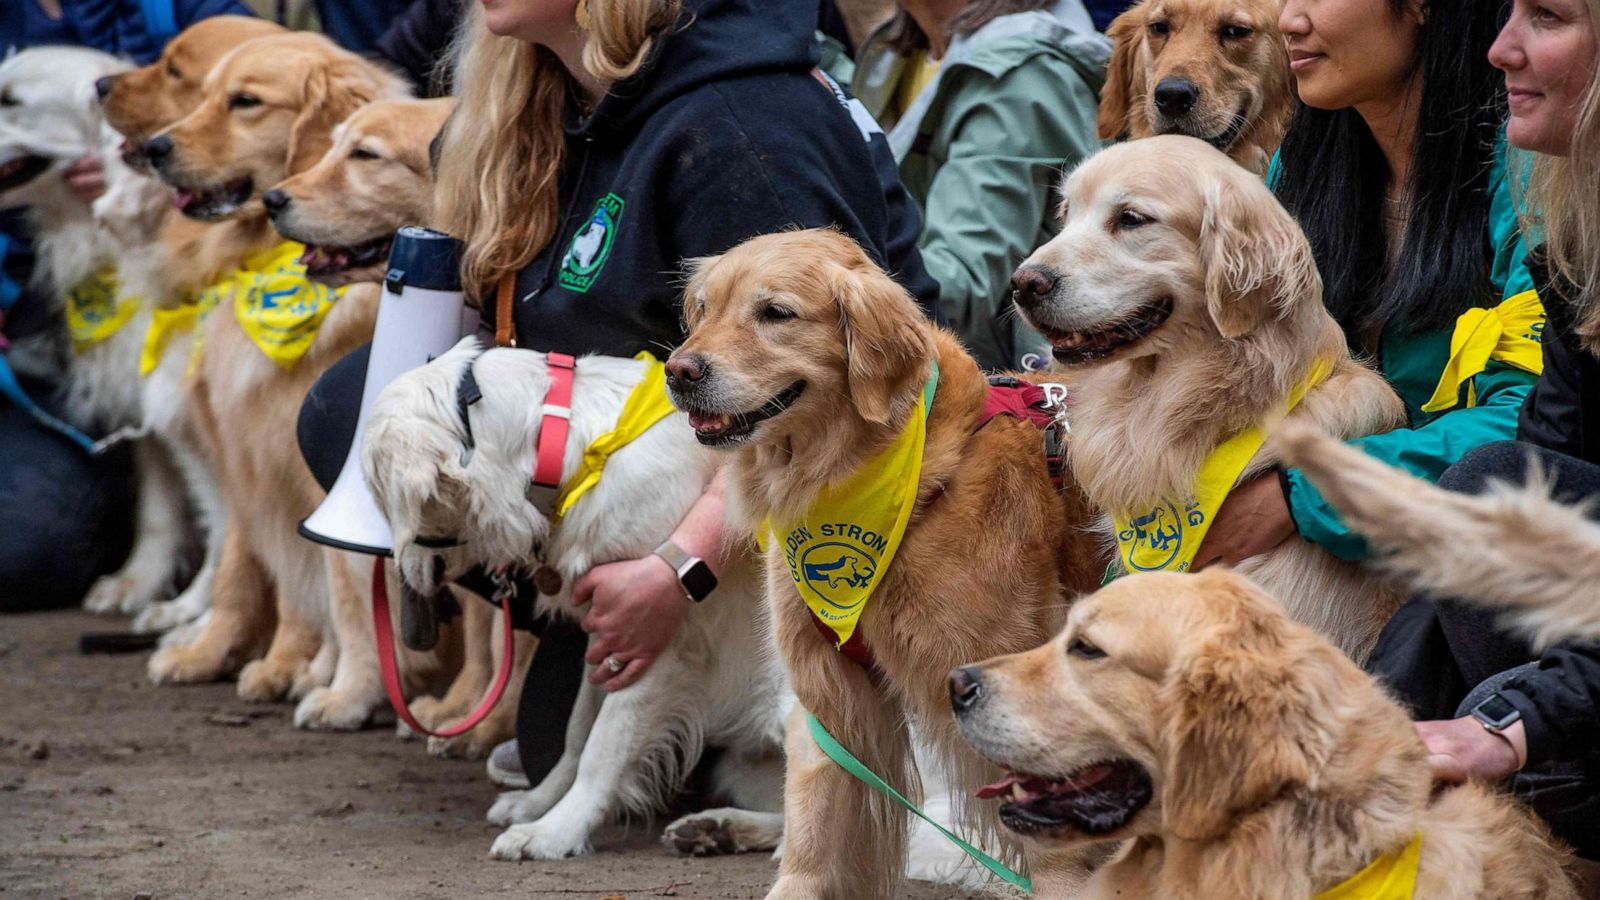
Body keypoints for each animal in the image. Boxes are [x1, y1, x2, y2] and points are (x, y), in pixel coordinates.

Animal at [361, 339, 787, 858]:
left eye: (381, 497)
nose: (403, 575)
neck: (574, 452)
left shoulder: (657, 640)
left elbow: (603, 749)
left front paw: (554, 832)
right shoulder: (607, 632)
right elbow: (577, 734)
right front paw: (536, 804)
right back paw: (716, 828)